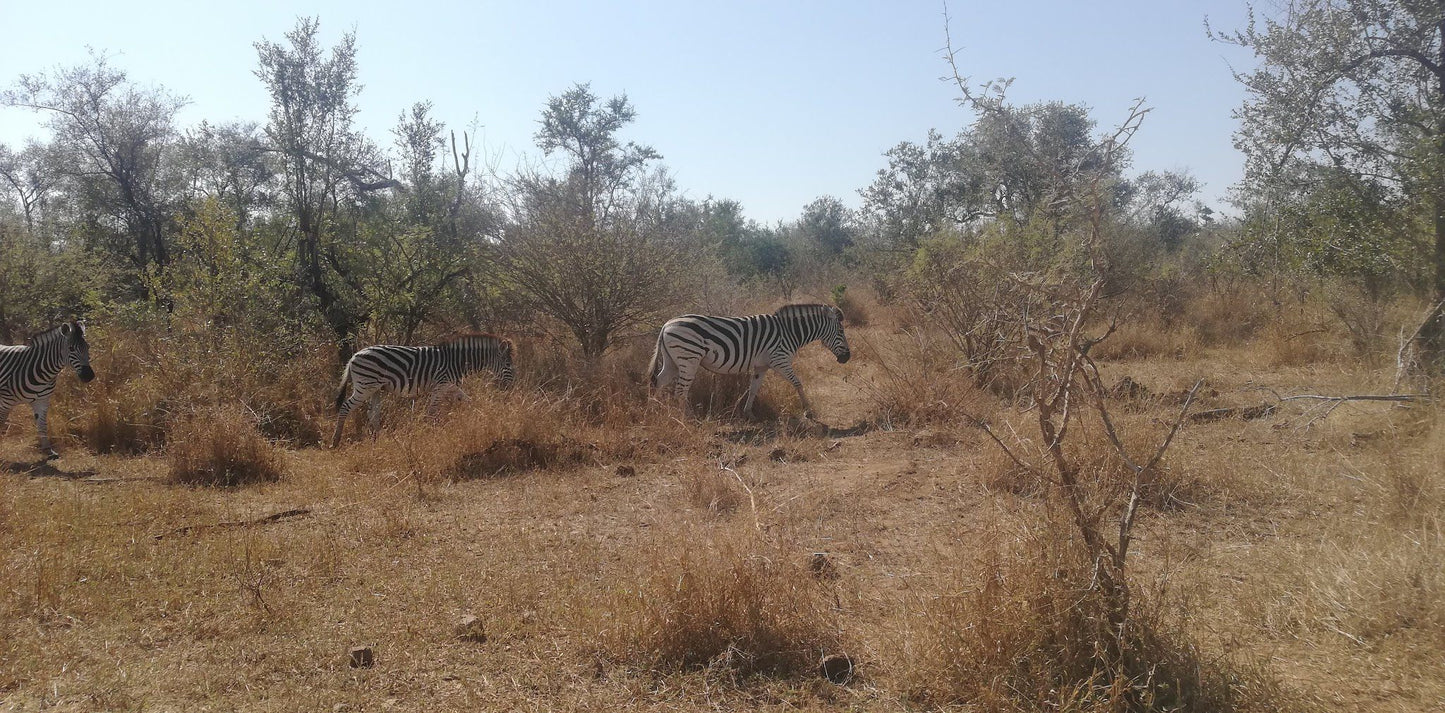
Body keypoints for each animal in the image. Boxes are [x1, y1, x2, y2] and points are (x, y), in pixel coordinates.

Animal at [0, 321, 96, 459]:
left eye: (88, 347)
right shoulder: (6, 402)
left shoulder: (42, 401)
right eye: (71, 349)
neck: (42, 371)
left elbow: (42, 425)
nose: (89, 376)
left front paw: (48, 450)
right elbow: (1, 424)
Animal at [333, 332, 520, 445]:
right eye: (508, 364)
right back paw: (336, 440)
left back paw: (377, 440)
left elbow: (469, 401)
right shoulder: (440, 386)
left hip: (375, 389)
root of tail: (353, 356)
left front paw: (480, 416)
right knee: (345, 407)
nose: (511, 387)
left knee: (373, 414)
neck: (458, 361)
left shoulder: (451, 386)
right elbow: (432, 413)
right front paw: (431, 435)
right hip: (365, 386)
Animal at [650, 302, 849, 416]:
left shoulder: (761, 366)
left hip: (673, 361)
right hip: (688, 358)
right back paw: (687, 418)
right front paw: (809, 411)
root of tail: (666, 325)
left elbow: (753, 389)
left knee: (658, 382)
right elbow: (798, 383)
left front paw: (748, 413)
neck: (789, 332)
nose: (847, 358)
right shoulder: (780, 360)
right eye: (841, 331)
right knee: (680, 391)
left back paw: (655, 411)